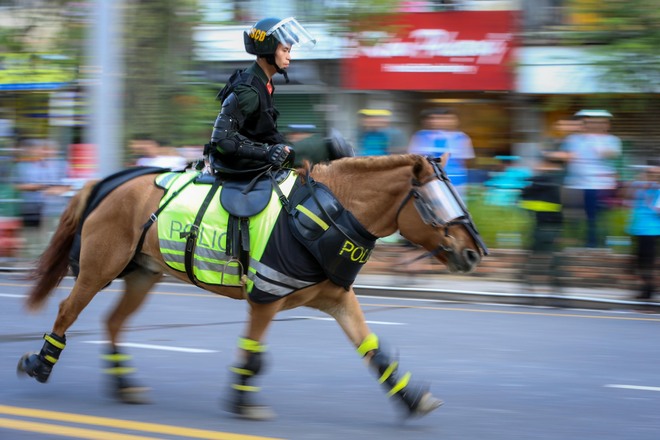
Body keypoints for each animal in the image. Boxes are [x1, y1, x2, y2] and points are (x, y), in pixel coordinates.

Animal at [15, 154, 484, 420]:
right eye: (435, 202)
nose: (475, 252)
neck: (324, 213)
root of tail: (109, 181)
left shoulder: (338, 299)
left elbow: (373, 350)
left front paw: (411, 399)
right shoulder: (266, 299)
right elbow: (254, 356)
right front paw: (242, 403)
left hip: (143, 275)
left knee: (113, 323)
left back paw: (123, 385)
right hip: (98, 270)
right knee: (67, 312)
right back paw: (40, 364)